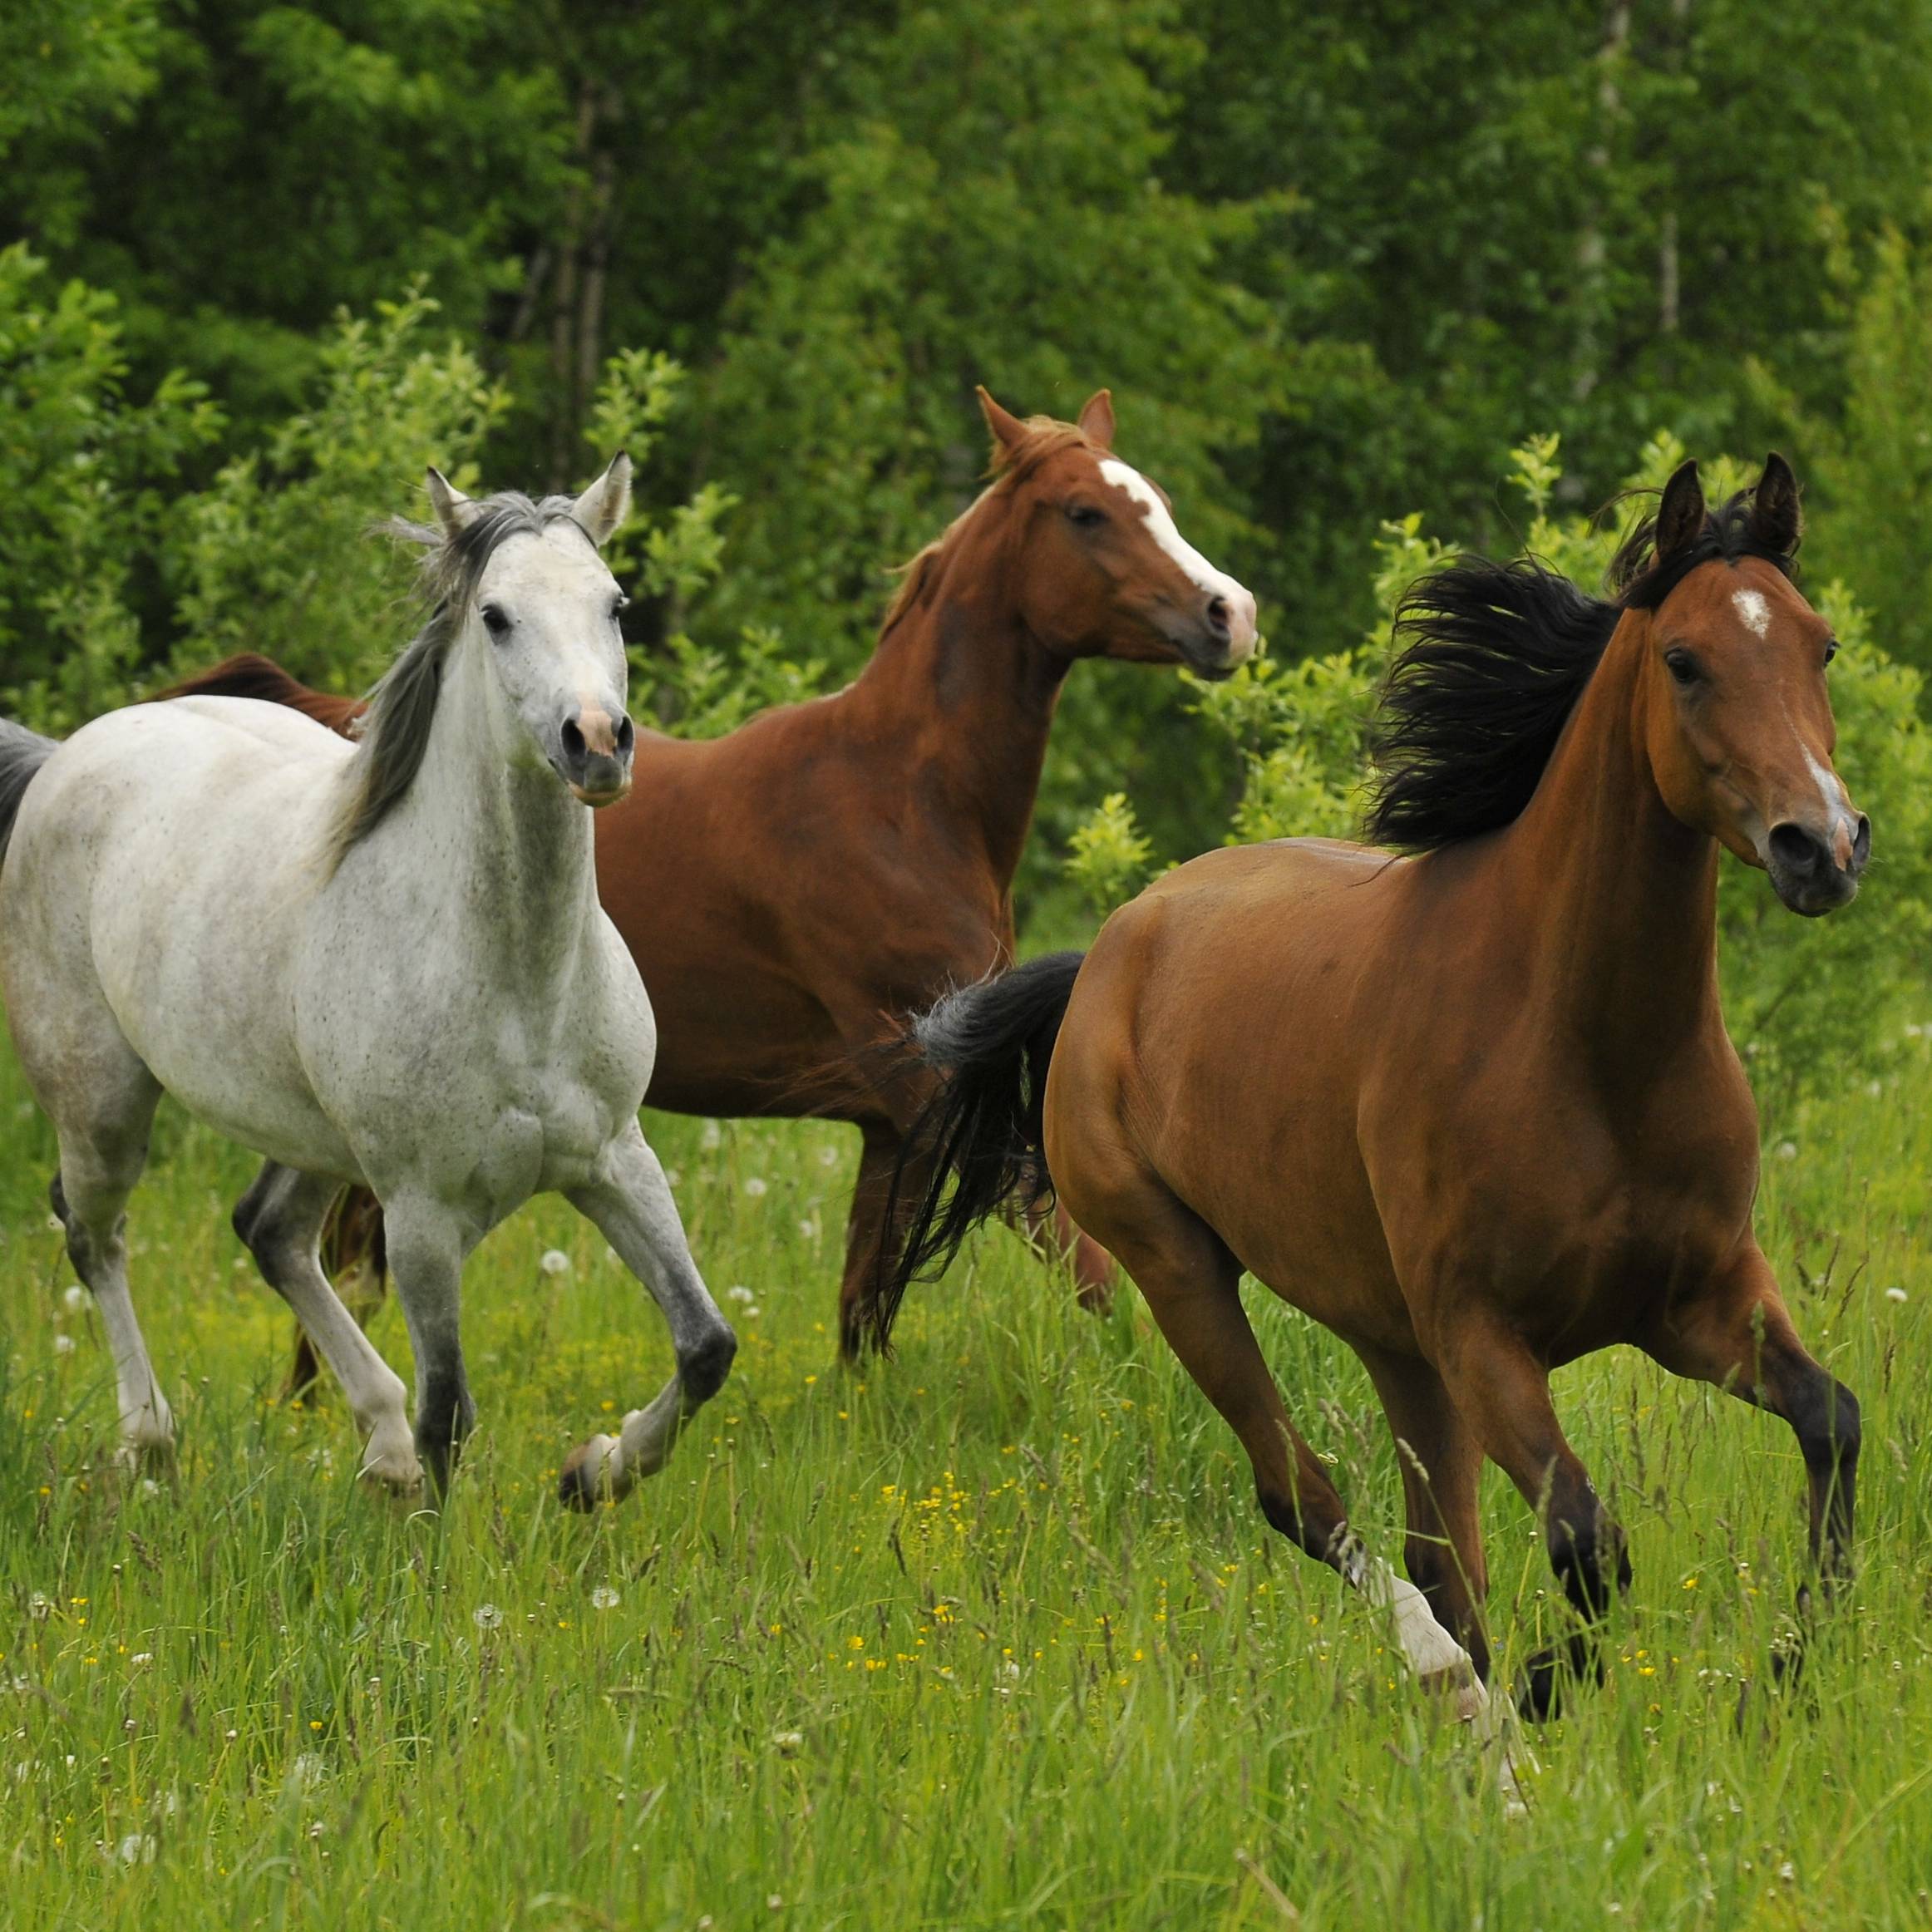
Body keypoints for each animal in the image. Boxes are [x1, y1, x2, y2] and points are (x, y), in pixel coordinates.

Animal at [0, 458, 737, 1507]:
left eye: (616, 603)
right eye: (496, 616)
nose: (596, 741)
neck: (521, 982)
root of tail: (63, 757)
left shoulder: (613, 1157)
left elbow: (704, 1342)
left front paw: (592, 1471)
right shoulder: (422, 1212)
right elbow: (451, 1416)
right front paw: (442, 1542)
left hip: (313, 1135)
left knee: (268, 1231)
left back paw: (376, 1443)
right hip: (102, 1106)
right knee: (92, 1235)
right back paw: (153, 1442)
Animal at [164, 385, 1258, 1372]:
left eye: (1155, 497)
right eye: (1085, 511)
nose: (1230, 614)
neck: (901, 800)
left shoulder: (886, 1125)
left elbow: (863, 1317)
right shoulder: (927, 1084)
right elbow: (1091, 1276)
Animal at [876, 455, 1866, 1723]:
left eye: (1818, 645)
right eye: (1684, 660)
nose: (1820, 846)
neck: (1593, 1054)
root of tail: (1108, 949)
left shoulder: (1700, 1302)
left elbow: (1829, 1421)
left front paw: (1785, 1668)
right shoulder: (1484, 1337)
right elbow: (1588, 1539)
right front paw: (1547, 1688)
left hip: (1395, 1347)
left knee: (1439, 1552)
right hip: (1183, 1270)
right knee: (1310, 1502)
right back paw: (1455, 1684)